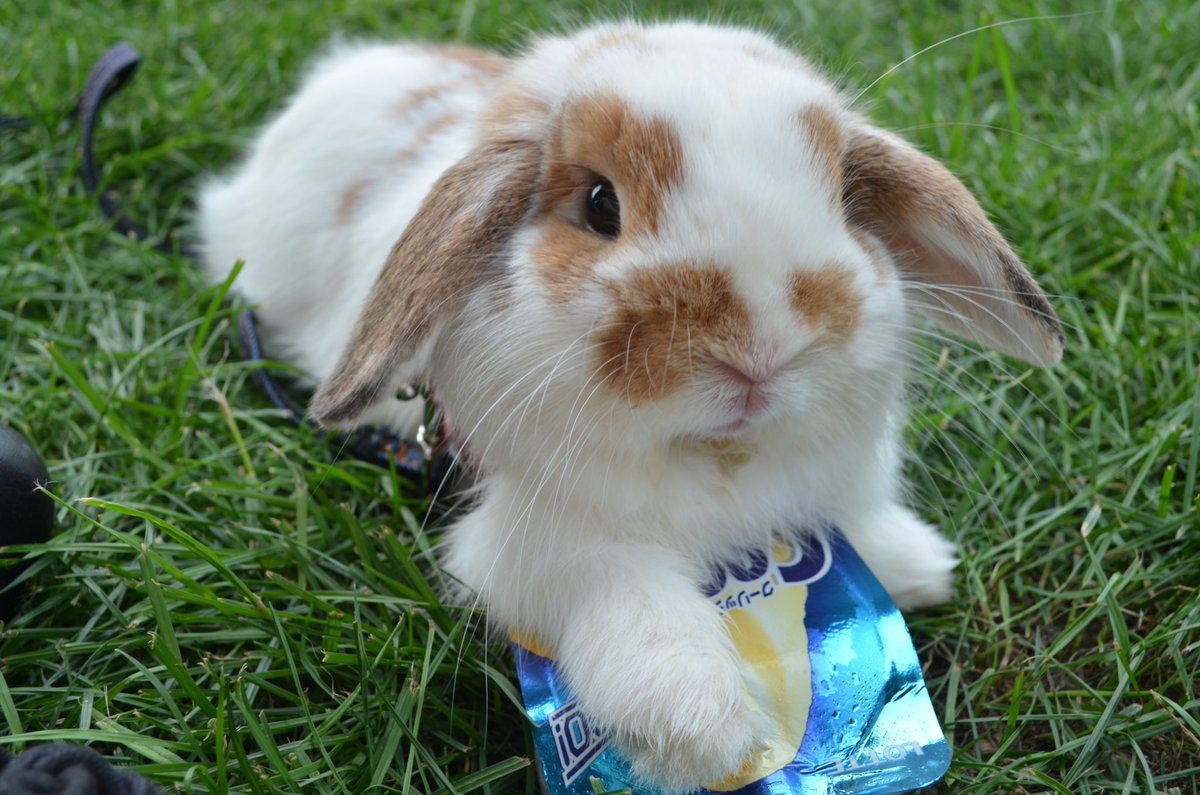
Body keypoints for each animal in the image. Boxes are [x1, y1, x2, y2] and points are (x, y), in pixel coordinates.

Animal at [197, 20, 1063, 793]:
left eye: (847, 205)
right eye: (599, 205)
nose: (760, 351)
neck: (716, 461)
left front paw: (916, 565)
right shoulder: (543, 545)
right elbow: (638, 605)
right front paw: (702, 730)